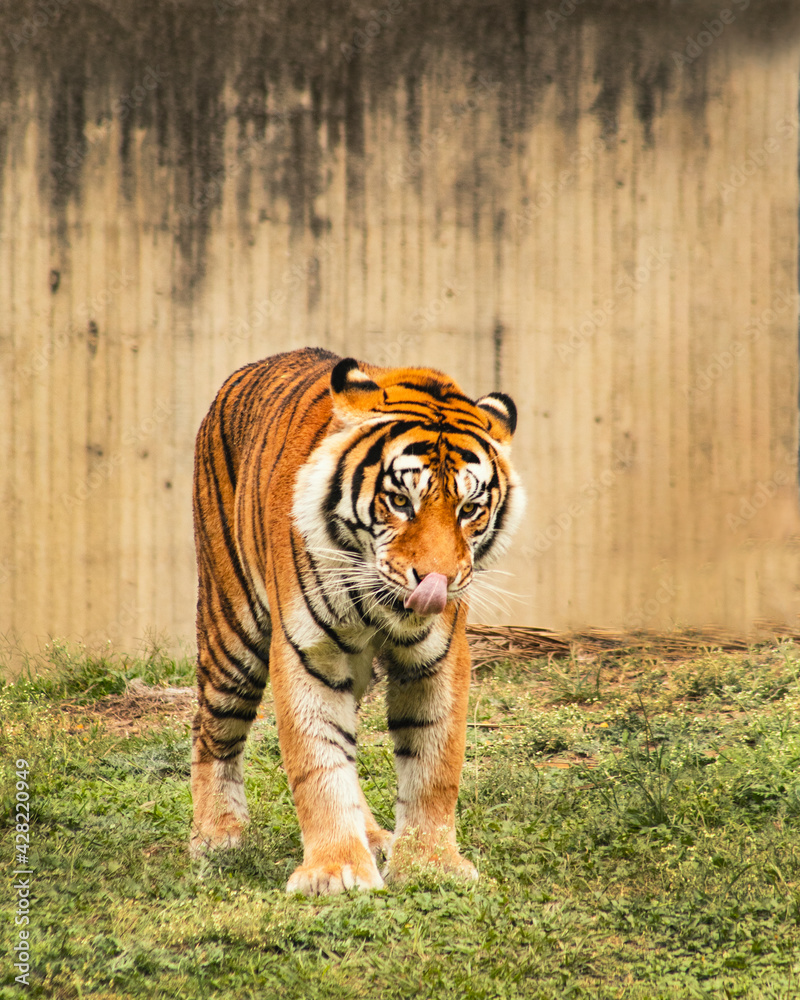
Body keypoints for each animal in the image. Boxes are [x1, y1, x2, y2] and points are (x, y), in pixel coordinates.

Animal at [190, 346, 524, 895]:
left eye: (469, 508)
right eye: (400, 501)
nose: (436, 582)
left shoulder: (438, 657)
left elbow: (434, 763)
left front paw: (430, 864)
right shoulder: (308, 652)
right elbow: (319, 761)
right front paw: (337, 871)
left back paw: (371, 836)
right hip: (231, 629)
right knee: (212, 729)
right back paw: (216, 835)